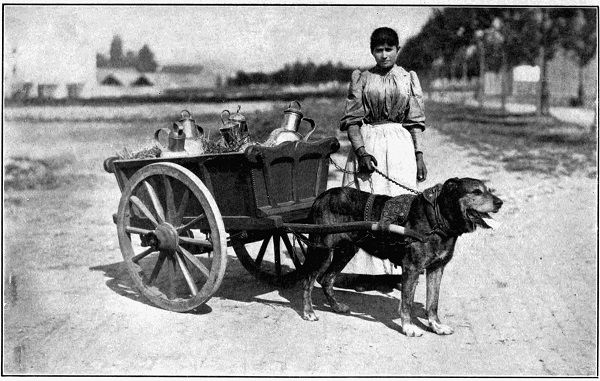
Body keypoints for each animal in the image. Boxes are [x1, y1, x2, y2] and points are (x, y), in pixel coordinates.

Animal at [302, 176, 504, 336]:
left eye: (488, 190)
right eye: (476, 191)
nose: (500, 203)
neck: (437, 219)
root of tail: (321, 197)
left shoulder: (436, 268)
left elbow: (433, 302)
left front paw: (436, 326)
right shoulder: (412, 268)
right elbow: (407, 302)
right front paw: (408, 327)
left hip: (346, 251)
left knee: (326, 279)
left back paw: (336, 306)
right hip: (320, 251)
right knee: (308, 280)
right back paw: (309, 312)